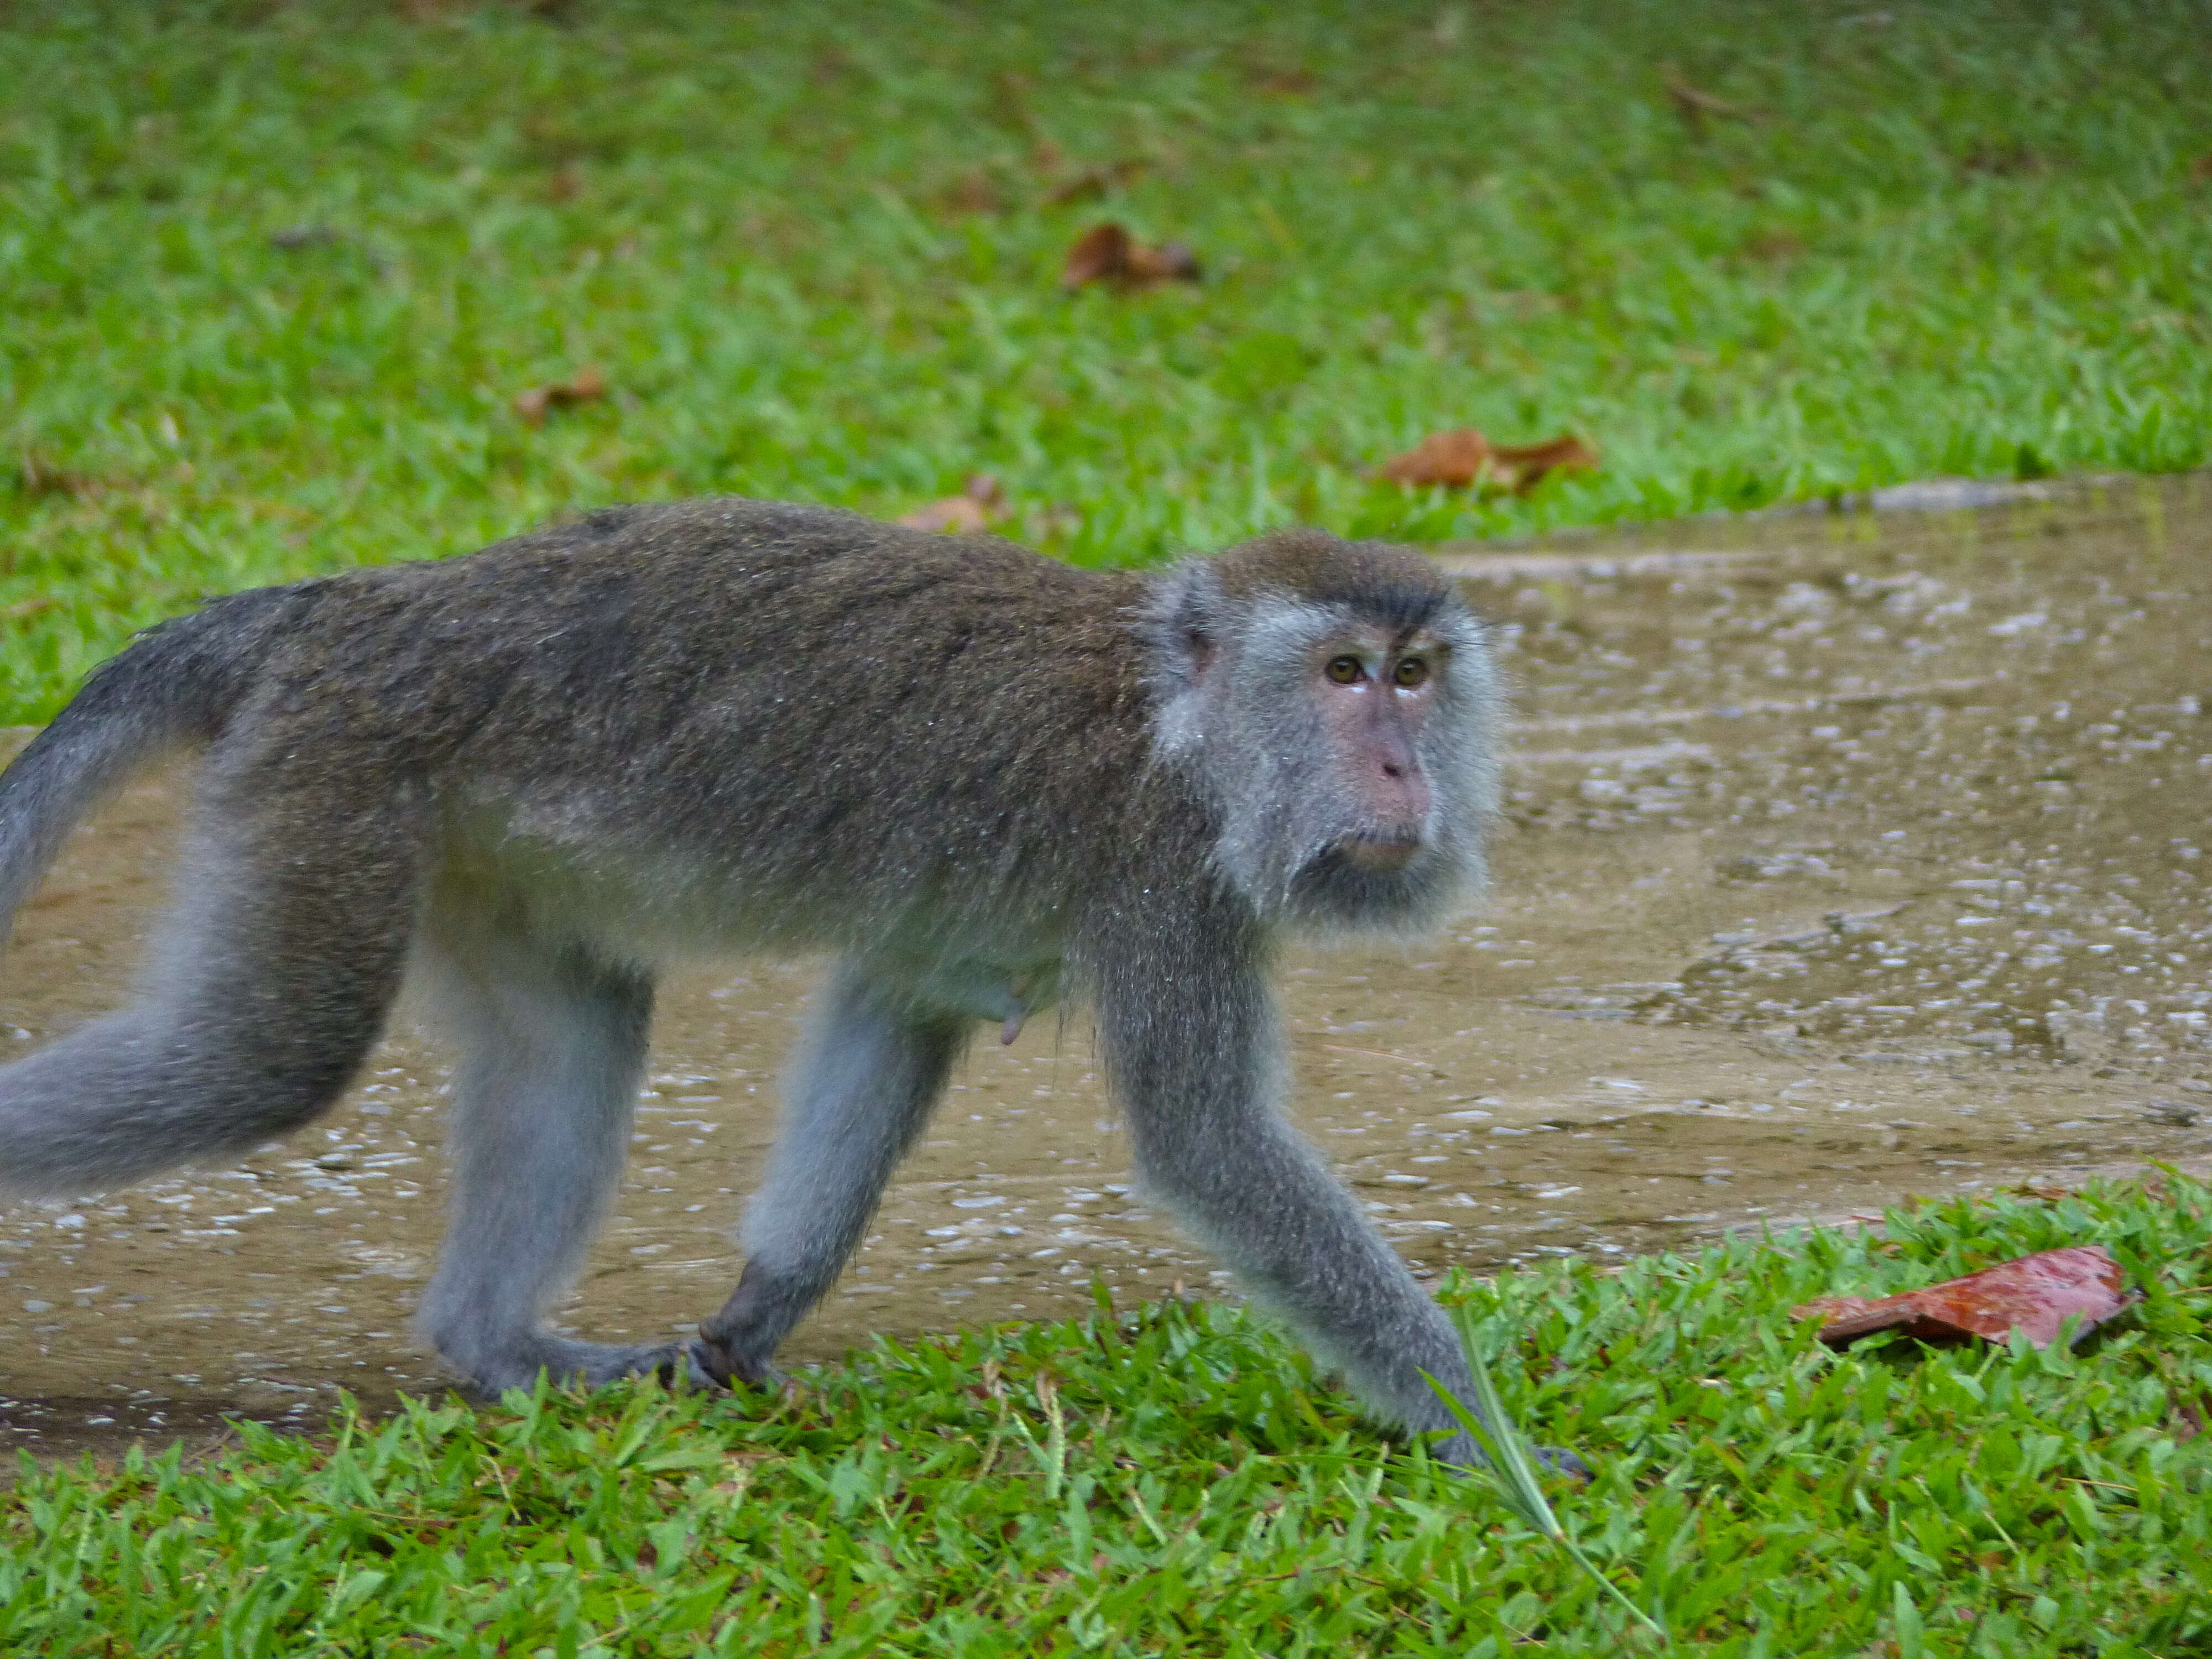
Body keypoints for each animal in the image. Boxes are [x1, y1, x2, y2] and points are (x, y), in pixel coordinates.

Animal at [0, 500, 1575, 1478]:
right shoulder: (1159, 873)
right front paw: (1485, 1442)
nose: (1402, 768)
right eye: (1343, 672)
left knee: (574, 1030)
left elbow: (896, 1007)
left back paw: (491, 1348)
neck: (1175, 728)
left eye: (1417, 674)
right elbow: (1210, 1146)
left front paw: (760, 1307)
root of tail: (341, 609)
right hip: (334, 775)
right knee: (266, 1060)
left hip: (450, 835)